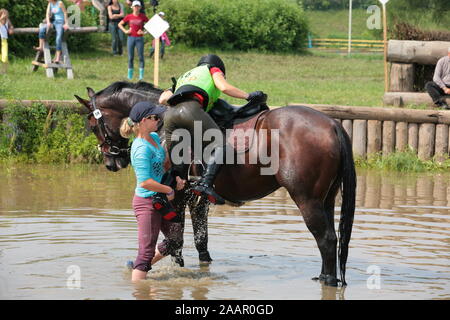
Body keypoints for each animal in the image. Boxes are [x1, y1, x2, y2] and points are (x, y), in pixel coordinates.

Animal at [74, 81, 356, 286]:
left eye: (92, 125)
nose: (112, 162)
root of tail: (332, 124)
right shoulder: (198, 200)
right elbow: (201, 244)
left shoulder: (178, 196)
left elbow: (176, 242)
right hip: (326, 198)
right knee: (330, 237)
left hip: (306, 199)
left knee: (326, 238)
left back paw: (329, 281)